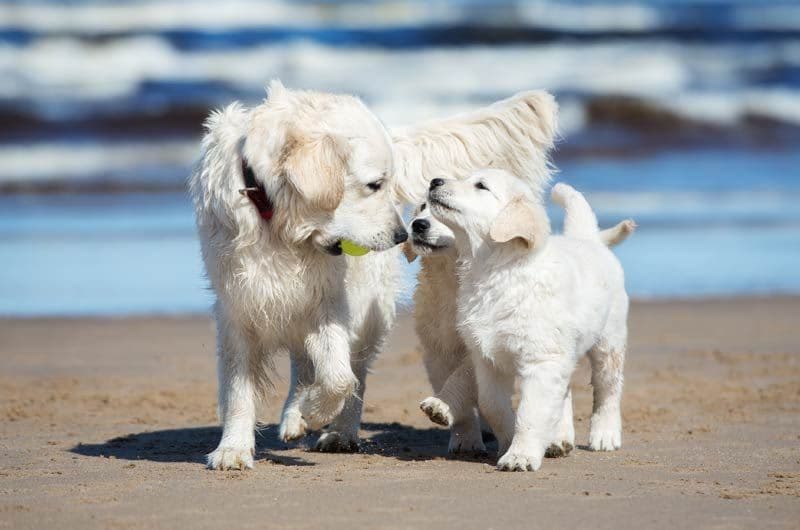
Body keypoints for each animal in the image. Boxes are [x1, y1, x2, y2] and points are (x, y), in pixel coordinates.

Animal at [189, 80, 564, 468]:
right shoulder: (238, 305)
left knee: (353, 369)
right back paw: (294, 416)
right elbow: (238, 387)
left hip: (368, 308)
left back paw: (338, 432)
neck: (281, 228)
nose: (402, 235)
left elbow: (340, 377)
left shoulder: (330, 301)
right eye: (373, 184)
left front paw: (317, 411)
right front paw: (233, 449)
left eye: (385, 183)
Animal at [432, 172, 632, 470]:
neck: (496, 270)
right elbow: (492, 405)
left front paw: (520, 455)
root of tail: (588, 239)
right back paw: (559, 438)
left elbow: (531, 412)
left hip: (609, 341)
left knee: (608, 388)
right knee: (565, 391)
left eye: (481, 185)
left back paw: (604, 435)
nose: (434, 181)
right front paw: (507, 442)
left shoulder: (541, 360)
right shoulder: (488, 360)